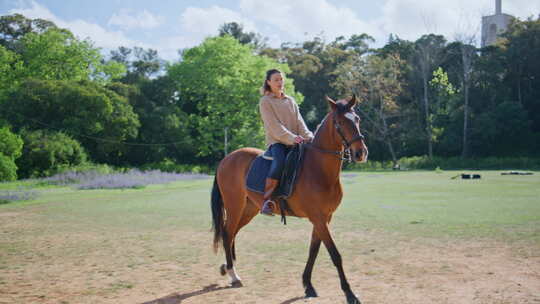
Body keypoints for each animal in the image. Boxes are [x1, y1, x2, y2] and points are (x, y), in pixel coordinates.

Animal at [209, 95, 370, 304]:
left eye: (357, 119)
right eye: (340, 123)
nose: (361, 153)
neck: (318, 169)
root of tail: (226, 159)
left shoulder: (324, 218)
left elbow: (313, 250)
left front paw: (308, 285)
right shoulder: (318, 218)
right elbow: (335, 254)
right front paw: (349, 293)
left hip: (249, 209)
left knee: (231, 233)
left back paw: (227, 268)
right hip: (234, 205)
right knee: (228, 233)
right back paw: (233, 274)